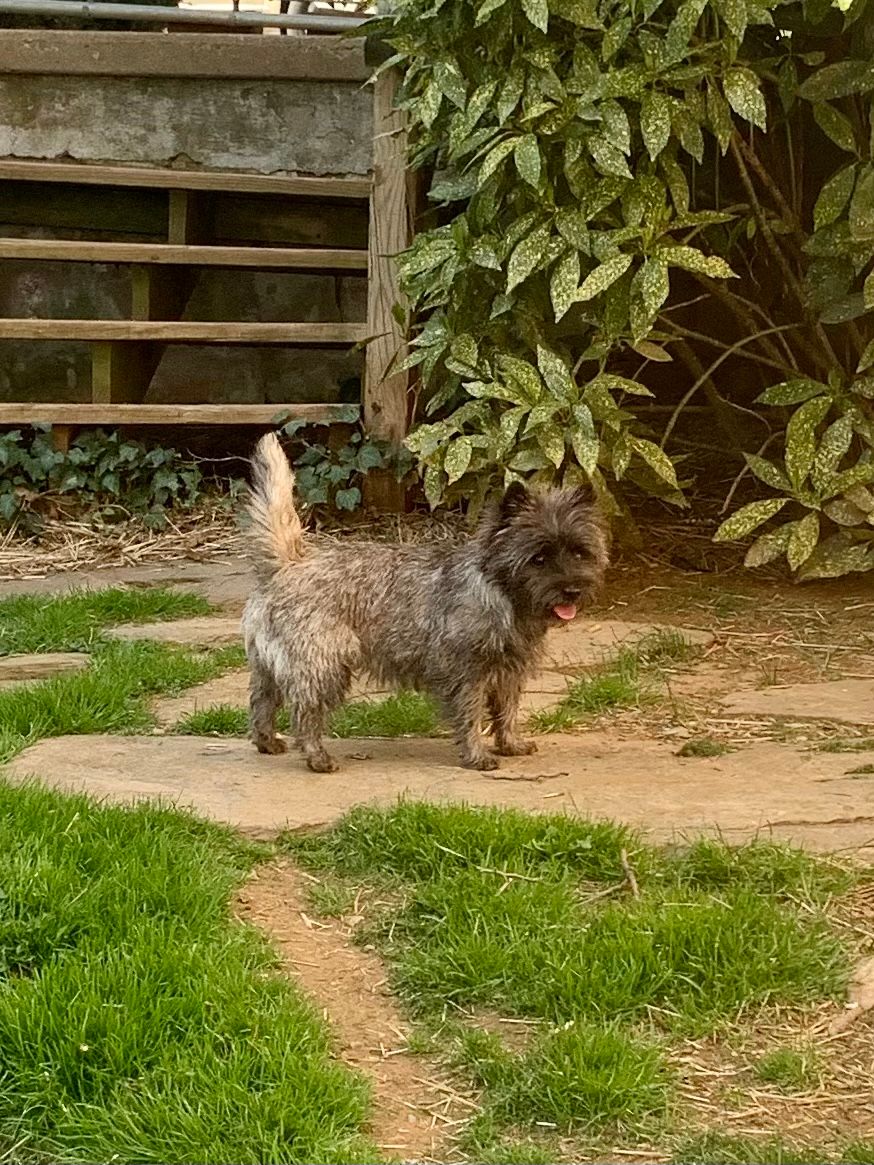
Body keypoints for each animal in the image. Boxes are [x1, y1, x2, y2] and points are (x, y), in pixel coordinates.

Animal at [242, 433, 609, 772]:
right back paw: (318, 757)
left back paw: (267, 742)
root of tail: (288, 564)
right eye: (539, 558)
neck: (501, 595)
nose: (572, 590)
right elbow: (471, 713)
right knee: (305, 712)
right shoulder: (467, 672)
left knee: (263, 701)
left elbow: (507, 709)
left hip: (269, 665)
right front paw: (477, 755)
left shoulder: (508, 671)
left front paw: (510, 743)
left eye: (579, 552)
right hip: (322, 665)